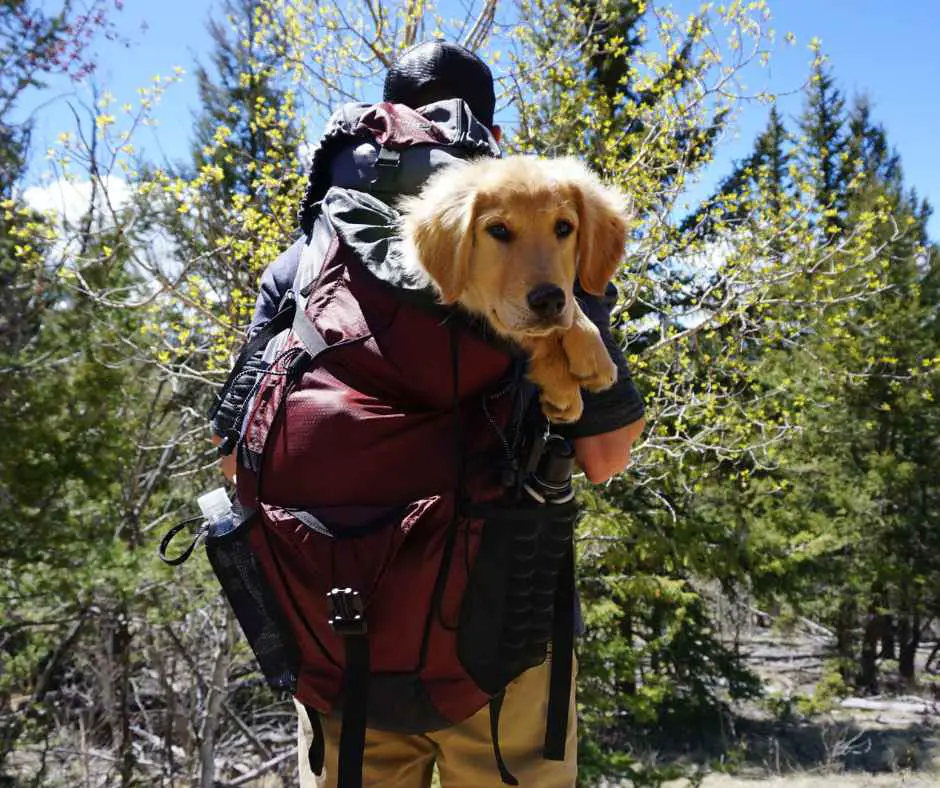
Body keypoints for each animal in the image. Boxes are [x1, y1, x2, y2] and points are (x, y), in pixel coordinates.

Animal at [396, 155, 632, 424]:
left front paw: (592, 351)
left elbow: (567, 306)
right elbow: (523, 331)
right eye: (498, 229)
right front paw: (562, 383)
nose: (549, 301)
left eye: (564, 227)